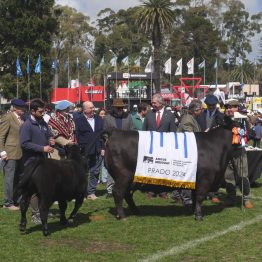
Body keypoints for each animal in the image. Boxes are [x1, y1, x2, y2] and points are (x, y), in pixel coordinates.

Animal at [104, 125, 233, 221]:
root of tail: (115, 131)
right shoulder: (205, 178)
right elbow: (200, 197)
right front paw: (199, 216)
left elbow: (196, 196)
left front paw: (193, 211)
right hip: (123, 176)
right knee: (118, 192)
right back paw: (122, 216)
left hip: (131, 180)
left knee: (127, 194)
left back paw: (135, 211)